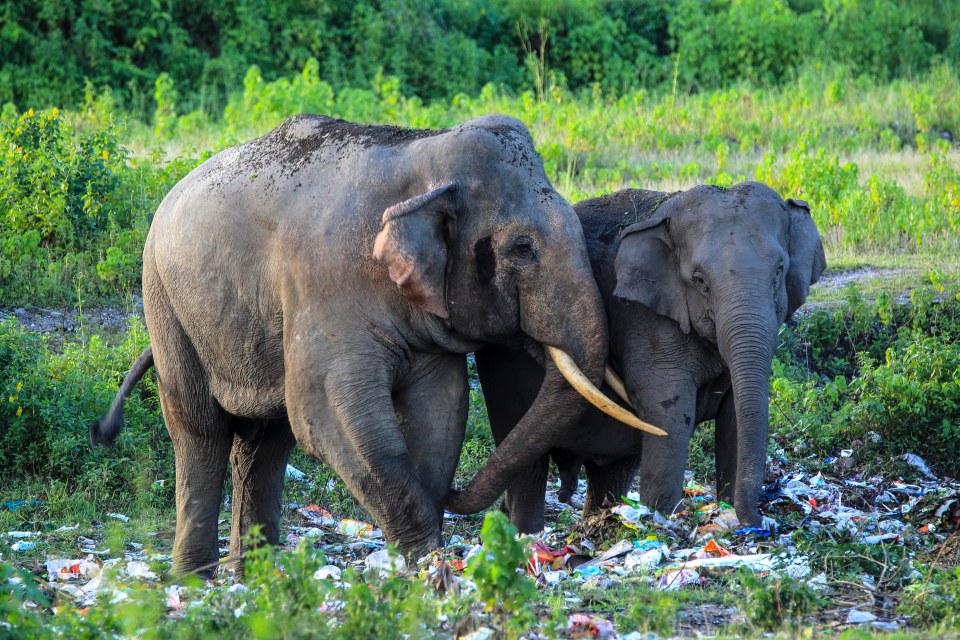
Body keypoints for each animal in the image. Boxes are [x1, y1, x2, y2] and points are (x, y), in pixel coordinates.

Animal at [92, 114, 660, 576]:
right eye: (523, 248)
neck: (423, 155)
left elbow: (440, 411)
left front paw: (421, 556)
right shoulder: (324, 286)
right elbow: (329, 417)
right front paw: (429, 563)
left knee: (265, 443)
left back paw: (258, 572)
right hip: (166, 302)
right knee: (200, 429)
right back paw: (195, 578)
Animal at [450, 182, 824, 532]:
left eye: (779, 270)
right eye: (700, 281)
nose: (759, 522)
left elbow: (734, 416)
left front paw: (728, 515)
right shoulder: (645, 320)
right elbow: (668, 413)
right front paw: (665, 520)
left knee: (610, 471)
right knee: (527, 463)